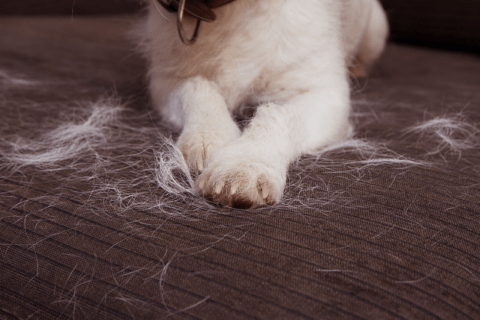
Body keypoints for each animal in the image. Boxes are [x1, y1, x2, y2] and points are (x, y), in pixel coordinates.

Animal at [133, 0, 388, 209]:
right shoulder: (165, 81)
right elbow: (197, 88)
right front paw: (208, 135)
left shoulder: (326, 94)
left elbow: (279, 114)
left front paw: (246, 163)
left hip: (376, 30)